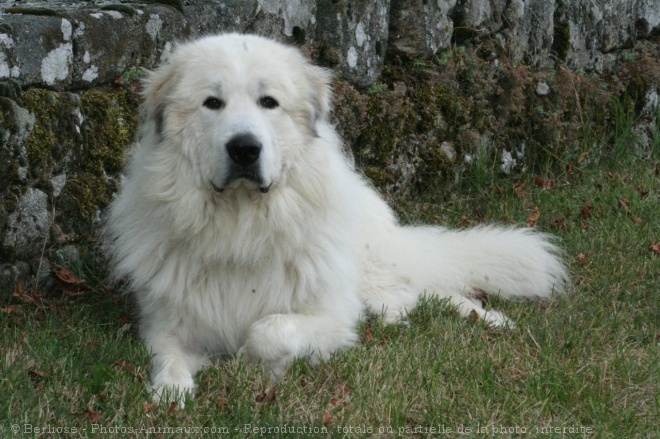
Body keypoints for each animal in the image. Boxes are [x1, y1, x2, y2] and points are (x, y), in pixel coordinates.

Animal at [107, 33, 568, 402]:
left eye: (268, 102)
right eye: (212, 103)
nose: (244, 149)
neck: (241, 230)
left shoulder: (330, 317)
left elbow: (267, 331)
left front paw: (254, 362)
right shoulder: (165, 326)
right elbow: (168, 358)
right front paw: (171, 392)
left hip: (369, 271)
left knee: (422, 287)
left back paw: (487, 318)